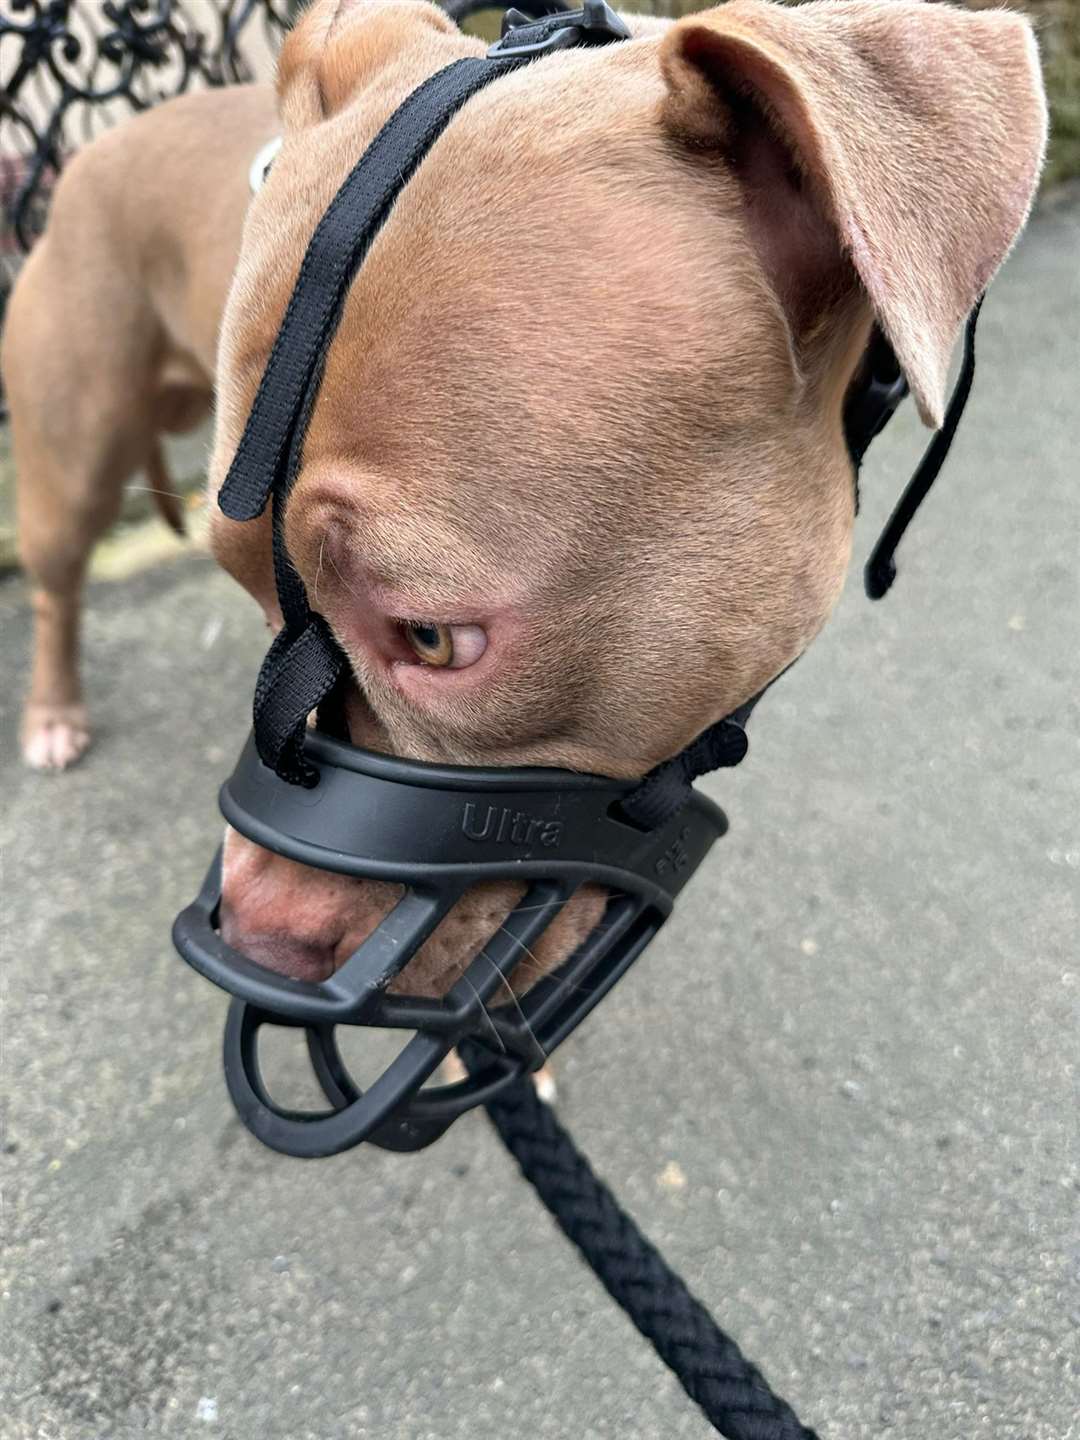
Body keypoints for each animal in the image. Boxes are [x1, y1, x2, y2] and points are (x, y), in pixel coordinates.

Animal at [0, 2, 1048, 1002]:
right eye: (241, 583)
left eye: (433, 638)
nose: (258, 941)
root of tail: (88, 152)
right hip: (69, 465)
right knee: (55, 590)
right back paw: (51, 713)